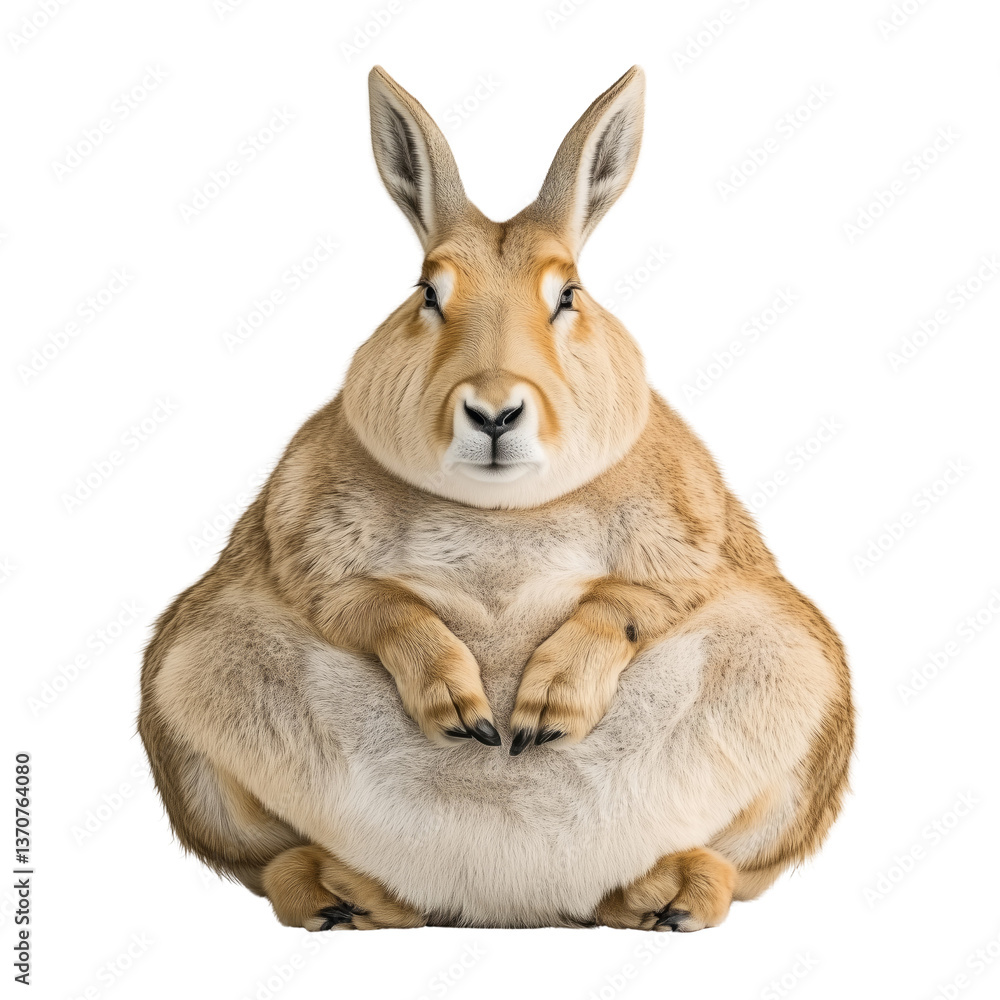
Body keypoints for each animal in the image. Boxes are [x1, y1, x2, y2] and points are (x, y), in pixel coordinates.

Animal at [138, 65, 854, 932]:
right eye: (428, 292)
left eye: (569, 295)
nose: (493, 411)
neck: (501, 509)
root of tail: (508, 903)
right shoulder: (306, 552)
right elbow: (373, 605)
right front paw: (460, 706)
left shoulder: (692, 555)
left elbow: (629, 603)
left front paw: (546, 709)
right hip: (192, 689)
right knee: (264, 858)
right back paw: (344, 895)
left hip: (802, 694)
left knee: (741, 864)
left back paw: (668, 897)